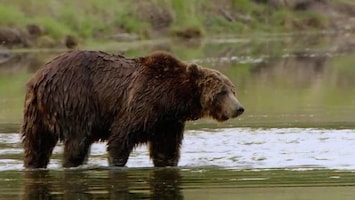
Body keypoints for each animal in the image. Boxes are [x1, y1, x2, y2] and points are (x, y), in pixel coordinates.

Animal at [21, 49, 245, 168]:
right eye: (221, 92)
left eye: (233, 90)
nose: (239, 108)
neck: (173, 99)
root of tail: (38, 78)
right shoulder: (141, 103)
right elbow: (121, 137)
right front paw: (116, 162)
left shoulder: (168, 123)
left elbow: (166, 150)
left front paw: (167, 162)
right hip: (75, 100)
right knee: (78, 142)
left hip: (37, 115)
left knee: (36, 144)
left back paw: (34, 164)